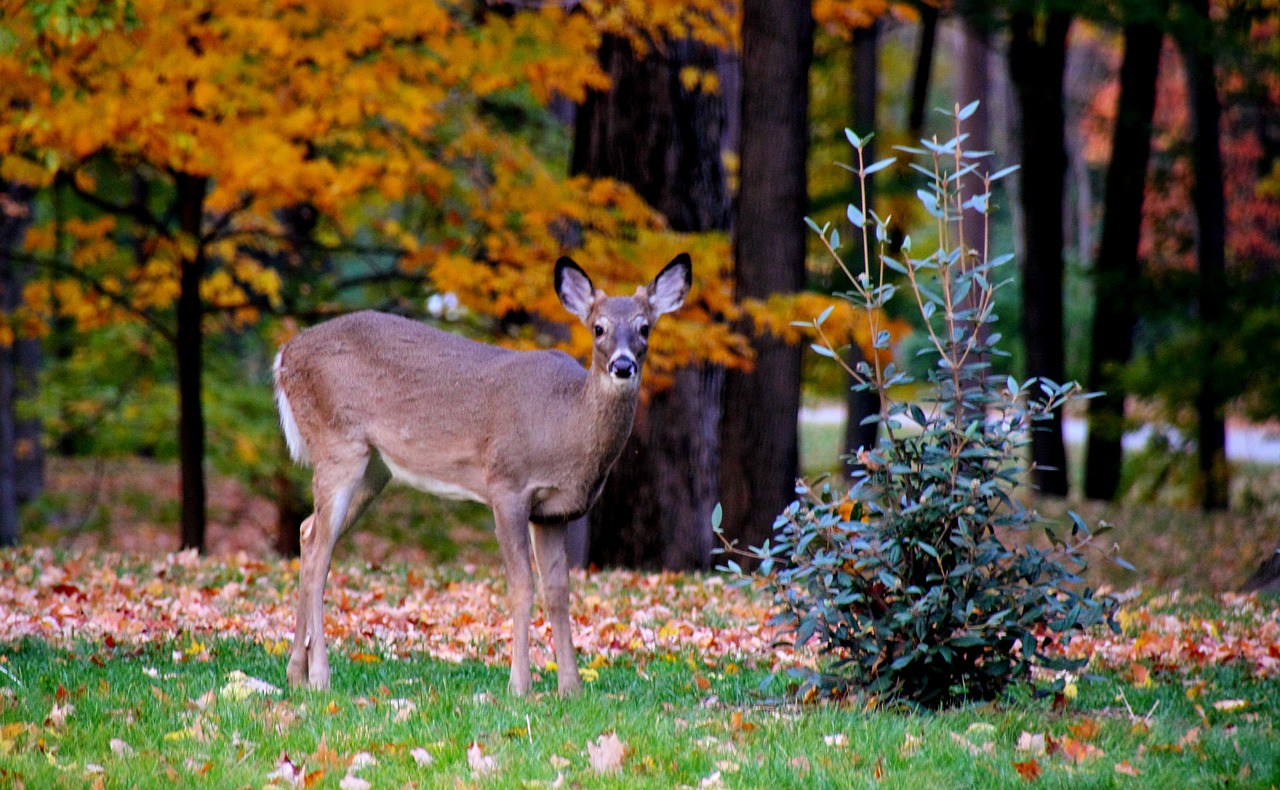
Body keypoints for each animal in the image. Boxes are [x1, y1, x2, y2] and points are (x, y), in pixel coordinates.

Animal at [270, 252, 691, 696]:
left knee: (308, 531)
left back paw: (295, 673)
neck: (565, 425)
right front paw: (520, 686)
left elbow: (558, 590)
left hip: (374, 468)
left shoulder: (553, 512)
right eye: (598, 328)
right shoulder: (506, 483)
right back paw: (320, 676)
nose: (623, 365)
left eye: (645, 327)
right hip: (338, 443)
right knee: (319, 551)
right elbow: (521, 585)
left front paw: (571, 689)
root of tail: (284, 356)